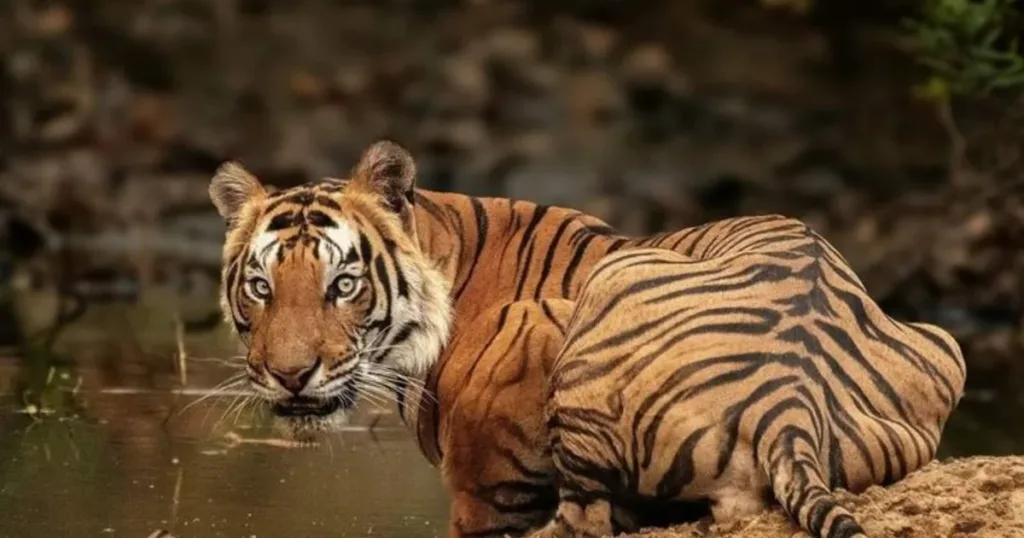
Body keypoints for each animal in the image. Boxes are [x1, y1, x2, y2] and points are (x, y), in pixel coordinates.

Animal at [207, 139, 964, 538]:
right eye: (261, 287)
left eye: (343, 285)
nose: (291, 375)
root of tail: (790, 402)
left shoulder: (486, 489)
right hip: (943, 339)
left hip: (573, 310)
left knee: (585, 518)